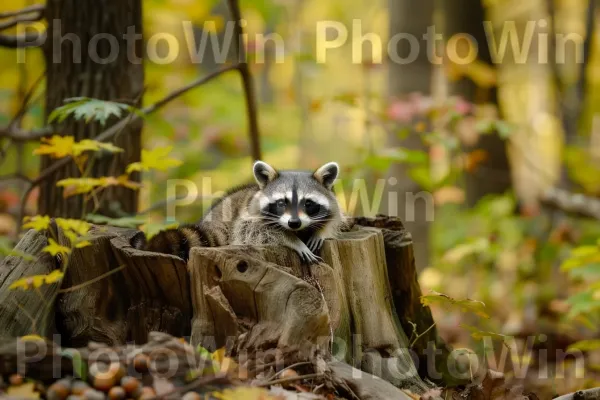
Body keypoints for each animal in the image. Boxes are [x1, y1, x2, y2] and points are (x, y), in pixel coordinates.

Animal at [131, 161, 346, 264]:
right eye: (281, 203)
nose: (294, 223)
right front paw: (293, 241)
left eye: (308, 203)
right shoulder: (249, 220)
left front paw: (322, 231)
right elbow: (258, 232)